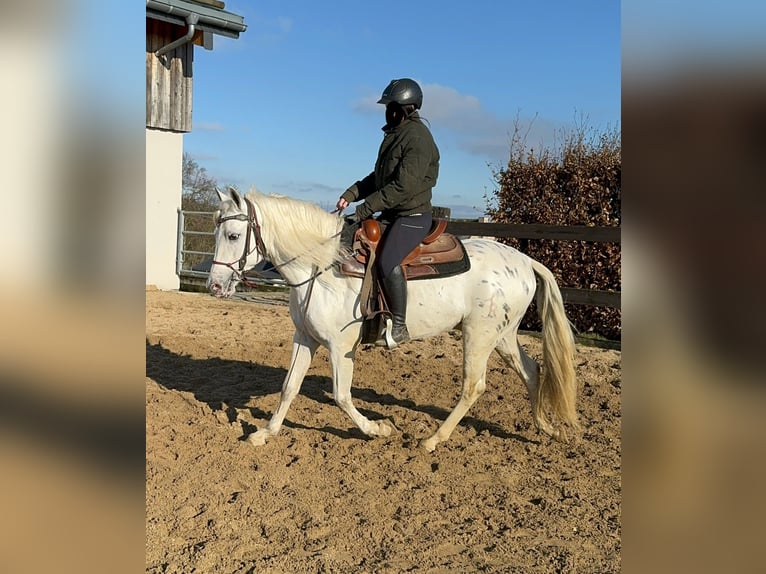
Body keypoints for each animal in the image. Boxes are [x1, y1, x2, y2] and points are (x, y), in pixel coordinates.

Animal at [207, 187, 580, 452]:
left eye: (233, 236)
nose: (214, 285)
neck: (321, 266)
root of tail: (524, 260)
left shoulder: (340, 346)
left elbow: (342, 396)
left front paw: (378, 429)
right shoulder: (305, 338)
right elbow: (289, 388)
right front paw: (264, 433)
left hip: (479, 335)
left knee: (473, 386)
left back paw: (432, 439)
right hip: (502, 336)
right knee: (531, 371)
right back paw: (546, 427)